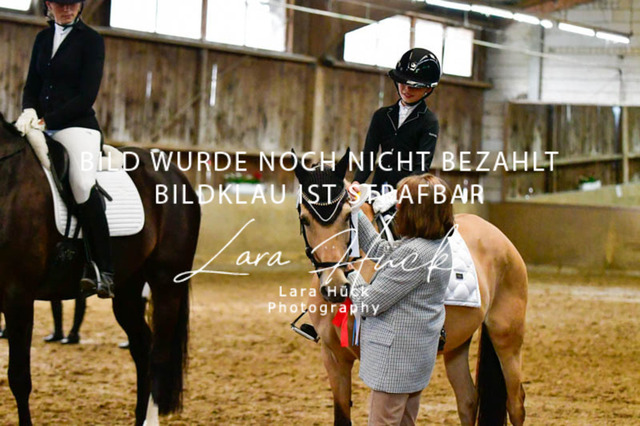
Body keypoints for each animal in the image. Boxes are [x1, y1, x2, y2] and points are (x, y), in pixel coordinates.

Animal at [0, 113, 200, 426]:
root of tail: (174, 174)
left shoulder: (17, 295)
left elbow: (19, 378)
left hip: (167, 282)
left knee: (159, 354)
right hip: (129, 289)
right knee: (142, 347)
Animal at [293, 150, 528, 425]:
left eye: (347, 216)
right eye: (305, 220)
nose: (336, 288)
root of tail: (499, 236)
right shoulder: (333, 358)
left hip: (507, 336)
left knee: (516, 402)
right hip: (458, 344)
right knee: (468, 400)